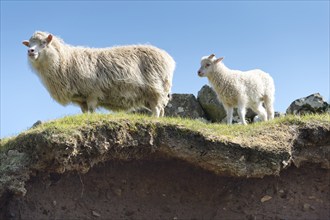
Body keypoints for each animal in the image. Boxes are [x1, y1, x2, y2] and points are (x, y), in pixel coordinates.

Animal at [22, 31, 175, 117]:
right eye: (29, 44)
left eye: (43, 43)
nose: (30, 51)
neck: (64, 61)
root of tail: (168, 59)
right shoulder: (81, 99)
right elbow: (85, 112)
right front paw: (86, 119)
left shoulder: (92, 93)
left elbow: (92, 109)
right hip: (151, 95)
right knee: (161, 109)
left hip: (155, 89)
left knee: (157, 109)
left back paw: (154, 120)